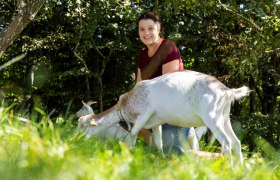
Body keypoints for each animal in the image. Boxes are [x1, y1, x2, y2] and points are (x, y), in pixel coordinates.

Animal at [78, 70, 249, 163]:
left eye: (83, 126)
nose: (78, 141)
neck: (125, 104)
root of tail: (227, 91)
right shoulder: (156, 122)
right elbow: (159, 142)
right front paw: (159, 158)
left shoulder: (144, 114)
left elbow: (132, 134)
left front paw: (128, 153)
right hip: (224, 118)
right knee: (236, 142)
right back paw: (239, 168)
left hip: (212, 119)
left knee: (226, 143)